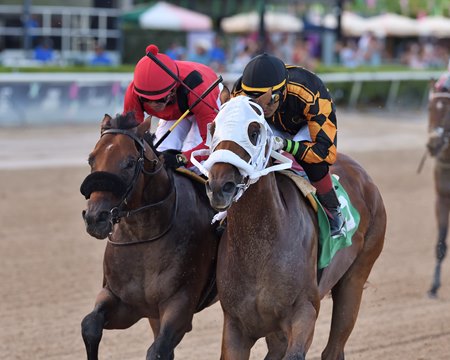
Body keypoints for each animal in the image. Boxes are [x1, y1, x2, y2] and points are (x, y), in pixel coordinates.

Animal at [81, 112, 221, 360]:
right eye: (91, 159)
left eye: (129, 163)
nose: (95, 218)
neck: (144, 236)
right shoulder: (127, 302)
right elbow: (90, 325)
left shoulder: (180, 305)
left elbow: (158, 350)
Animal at [199, 95, 388, 360]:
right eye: (214, 127)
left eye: (254, 131)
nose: (219, 186)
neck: (259, 247)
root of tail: (364, 176)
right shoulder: (236, 326)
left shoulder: (304, 311)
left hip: (356, 277)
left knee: (334, 346)